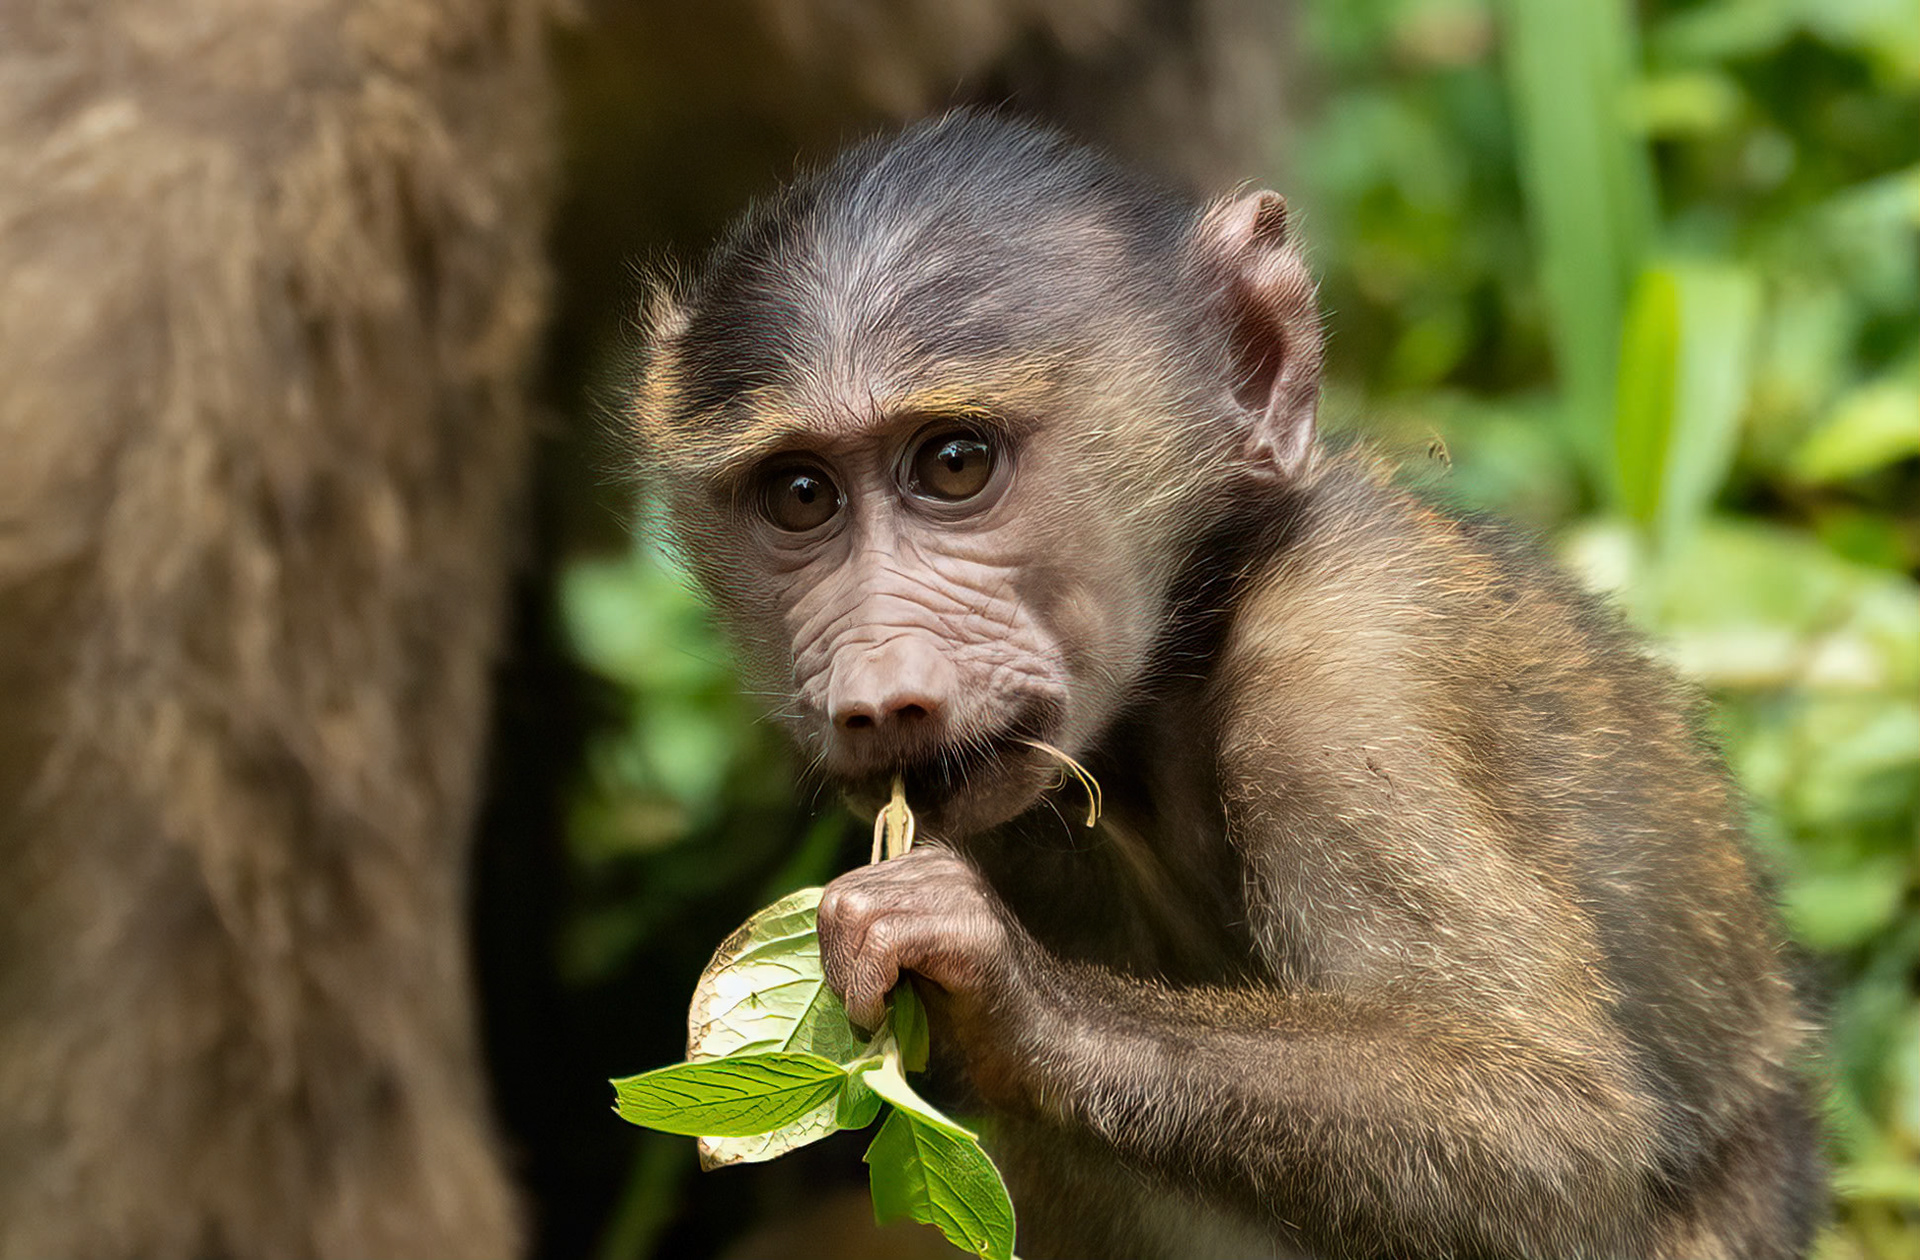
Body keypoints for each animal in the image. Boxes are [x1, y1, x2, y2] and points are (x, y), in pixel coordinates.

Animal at [631, 110, 1828, 1260]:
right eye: (800, 495)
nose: (879, 695)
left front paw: (1002, 983)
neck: (1180, 663)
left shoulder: (1350, 675)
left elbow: (1552, 1127)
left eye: (954, 465)